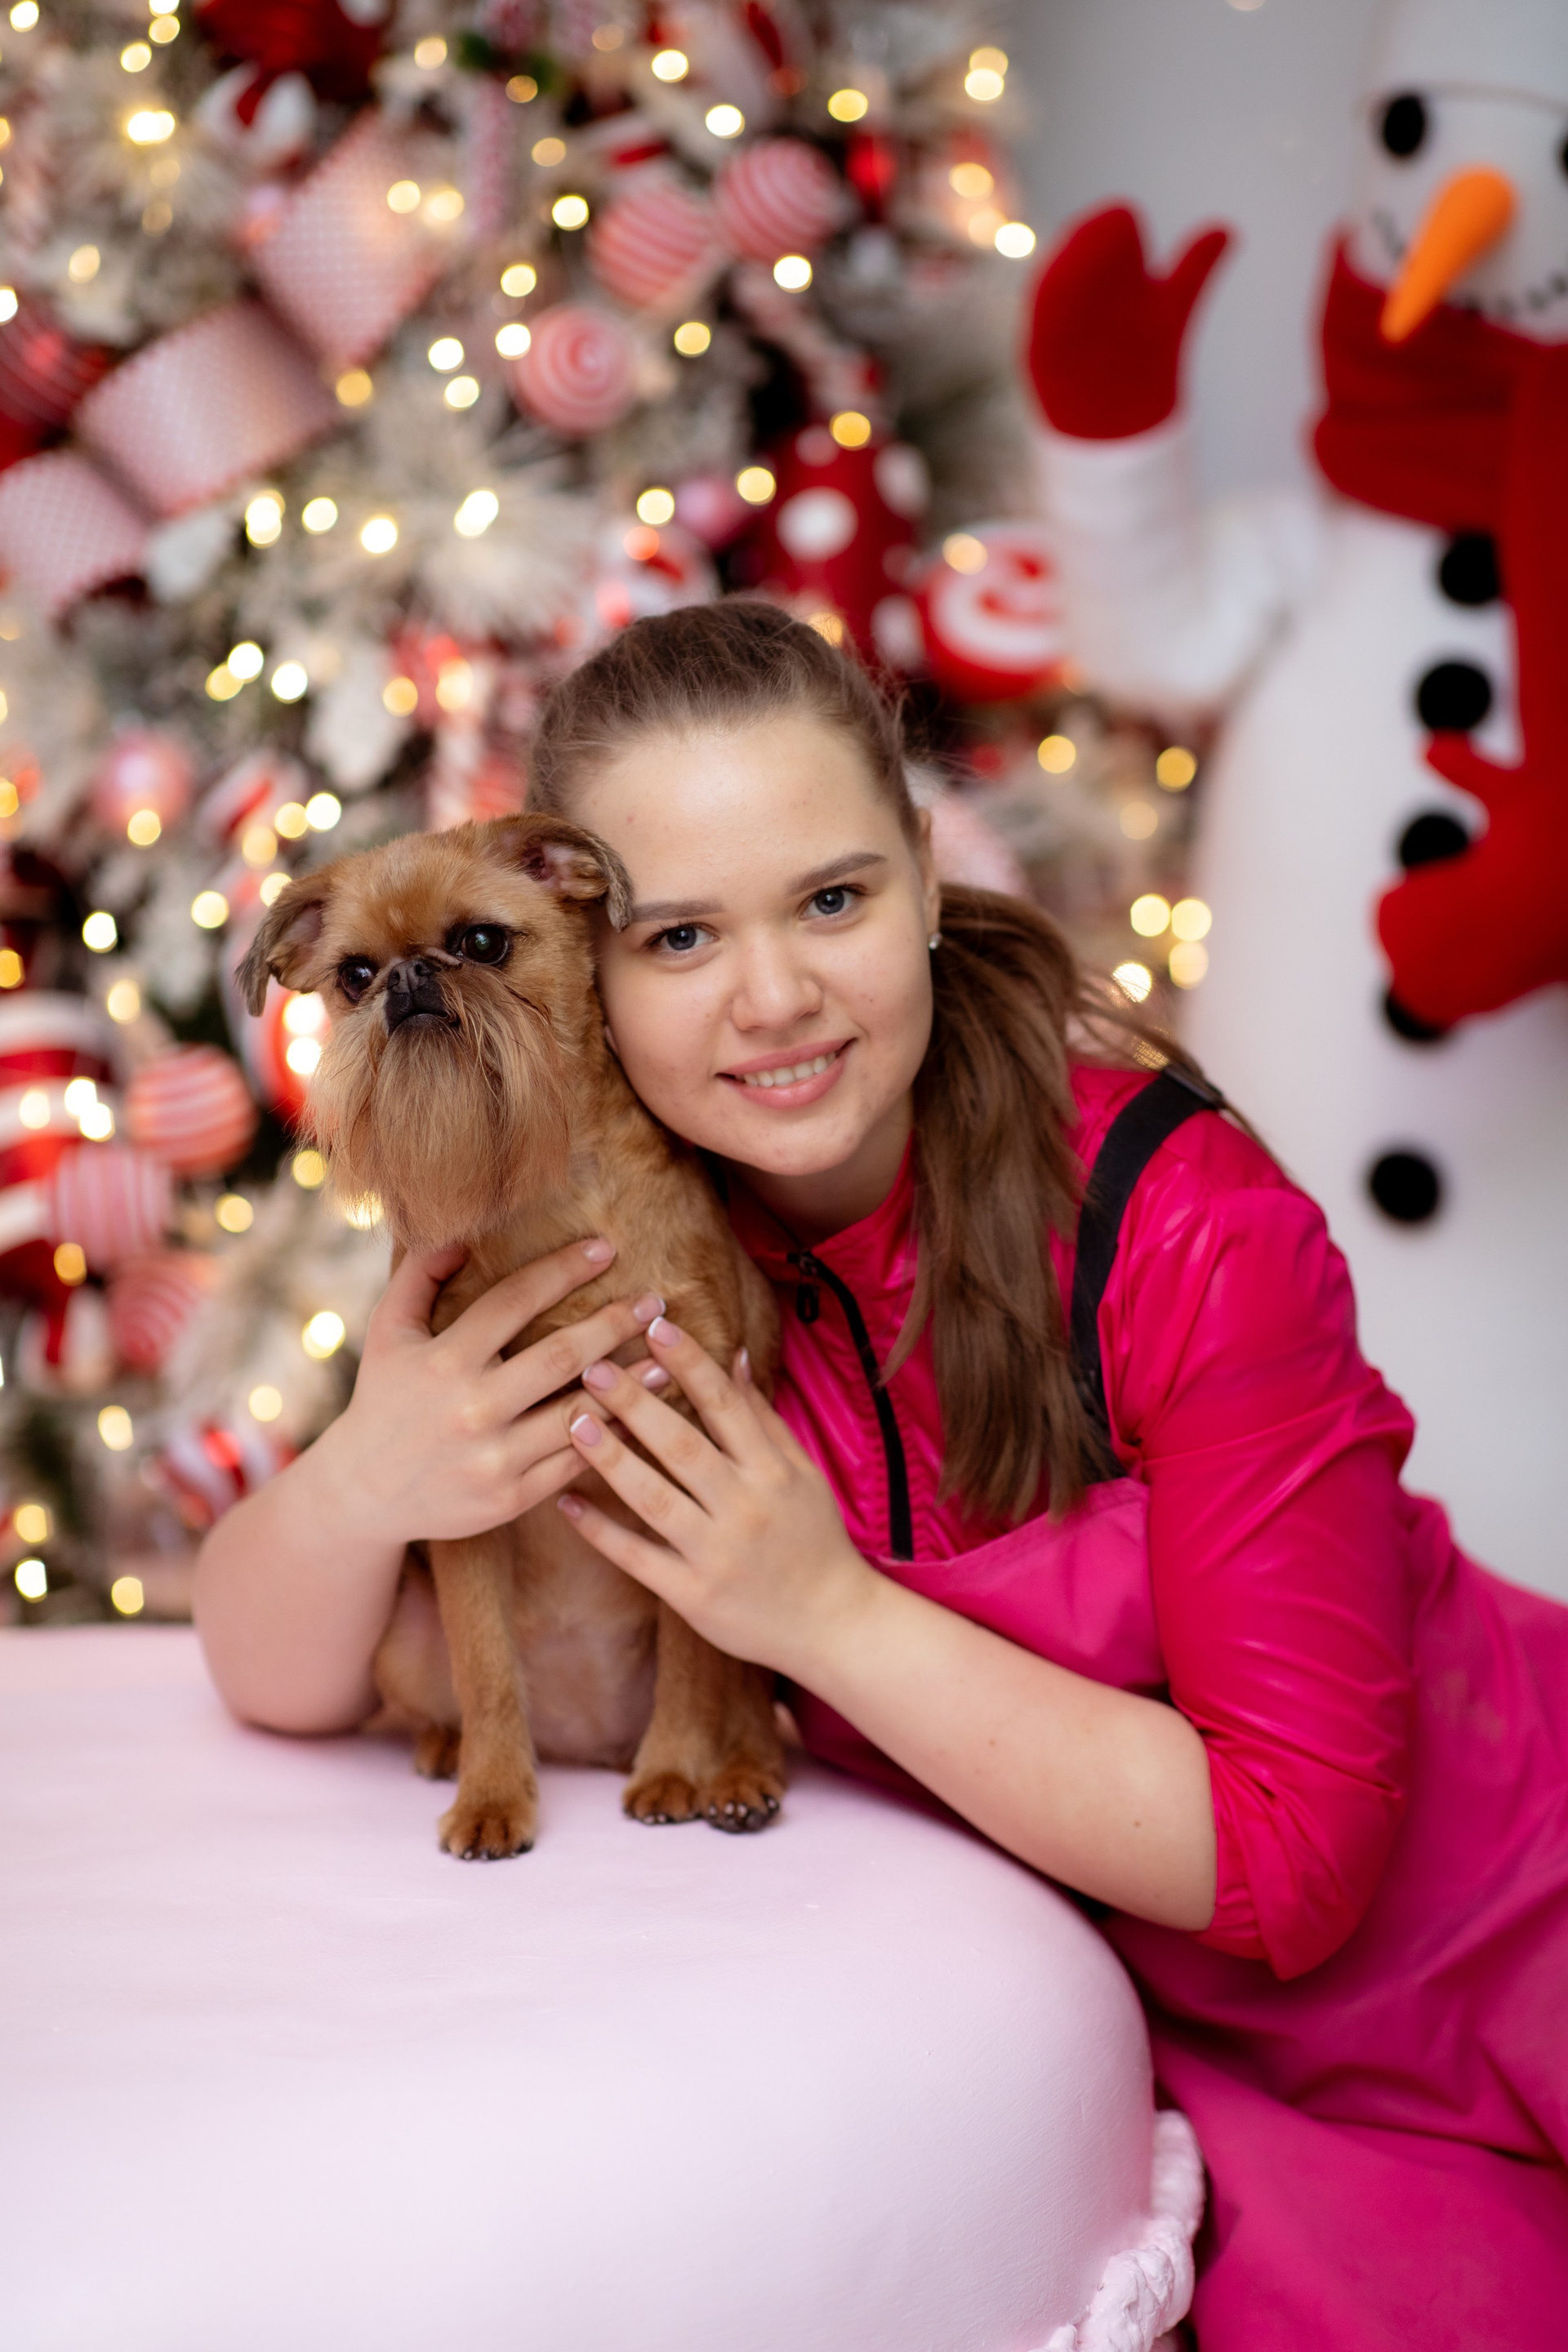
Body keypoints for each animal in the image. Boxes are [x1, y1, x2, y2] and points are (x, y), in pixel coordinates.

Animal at [238, 812, 785, 1859]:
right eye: (354, 976)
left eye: (484, 943)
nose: (411, 977)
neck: (545, 1196)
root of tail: (583, 1741)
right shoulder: (462, 1511)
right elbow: (487, 1667)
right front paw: (494, 1796)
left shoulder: (691, 1460)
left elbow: (692, 1662)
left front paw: (675, 1772)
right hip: (402, 1640)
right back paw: (448, 1751)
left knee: (740, 1693)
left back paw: (737, 1777)